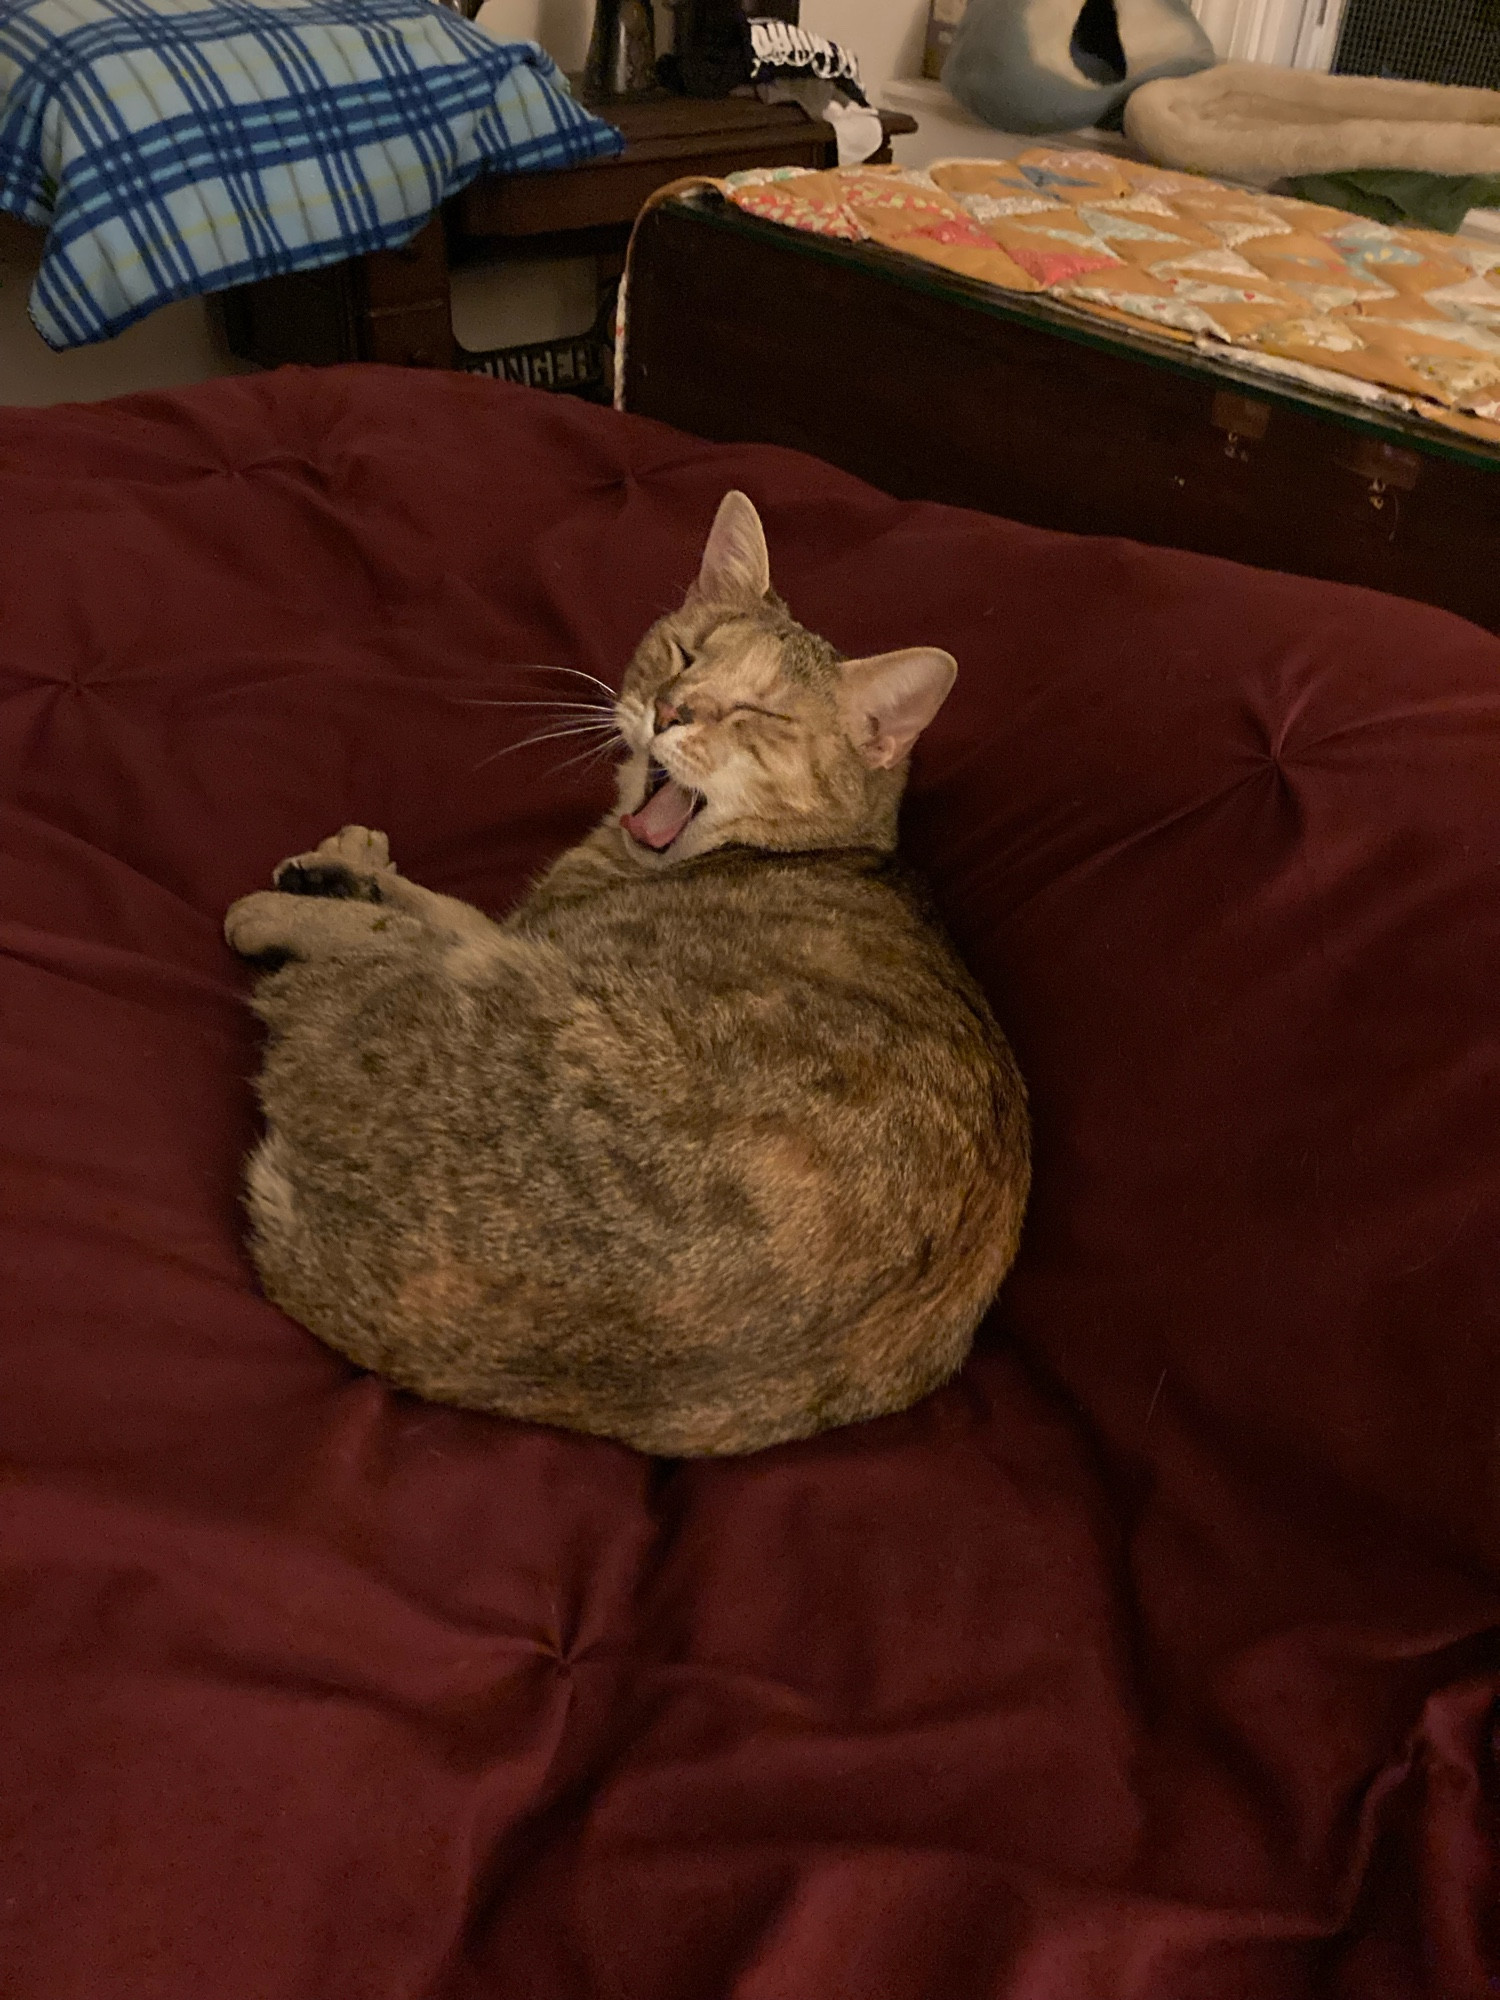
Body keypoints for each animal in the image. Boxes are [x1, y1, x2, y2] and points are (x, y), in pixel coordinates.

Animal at [226, 490, 1032, 1448]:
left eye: (759, 713)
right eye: (685, 653)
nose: (672, 709)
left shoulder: (507, 937)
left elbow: (403, 913)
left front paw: (320, 884)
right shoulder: (514, 922)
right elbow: (426, 894)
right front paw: (351, 857)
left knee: (350, 954)